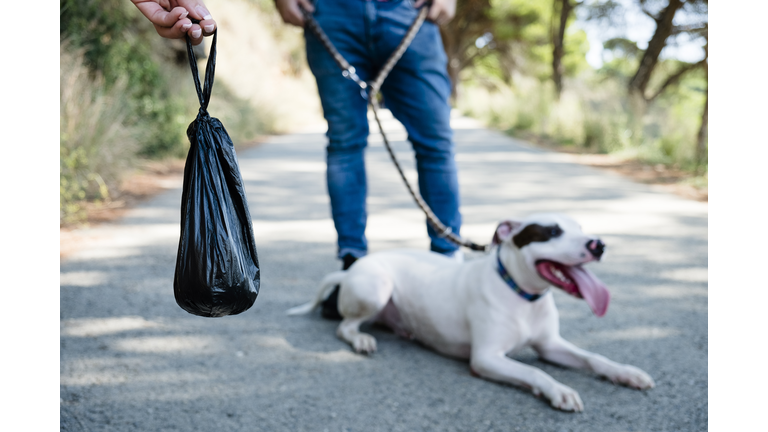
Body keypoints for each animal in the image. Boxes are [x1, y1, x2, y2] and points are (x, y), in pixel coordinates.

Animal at [288, 213, 656, 412]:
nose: (599, 244)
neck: (521, 295)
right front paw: (559, 390)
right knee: (345, 326)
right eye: (552, 231)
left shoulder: (551, 345)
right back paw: (361, 339)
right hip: (376, 288)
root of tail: (353, 268)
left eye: (580, 227)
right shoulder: (486, 358)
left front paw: (626, 373)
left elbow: (594, 358)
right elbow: (534, 371)